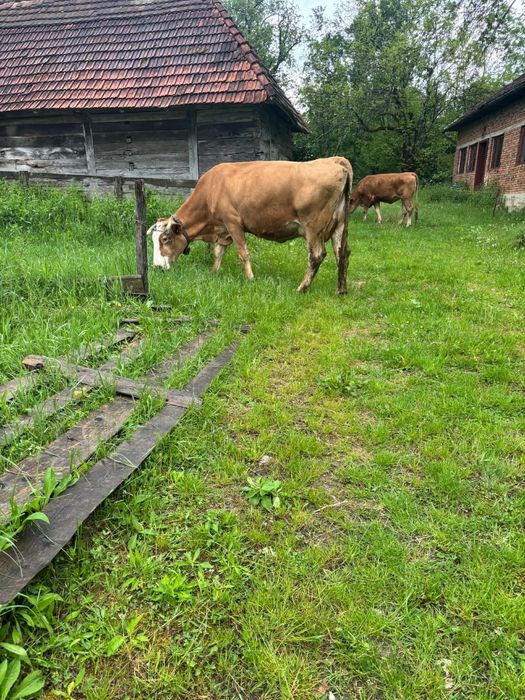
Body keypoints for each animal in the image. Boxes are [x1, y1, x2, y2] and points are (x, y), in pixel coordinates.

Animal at [154, 158, 353, 293]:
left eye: (165, 238)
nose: (157, 267)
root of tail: (334, 160)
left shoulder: (233, 222)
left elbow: (243, 253)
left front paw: (250, 278)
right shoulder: (223, 229)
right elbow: (219, 251)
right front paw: (213, 272)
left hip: (313, 227)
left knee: (317, 255)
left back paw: (301, 288)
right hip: (339, 224)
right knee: (342, 253)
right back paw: (341, 289)